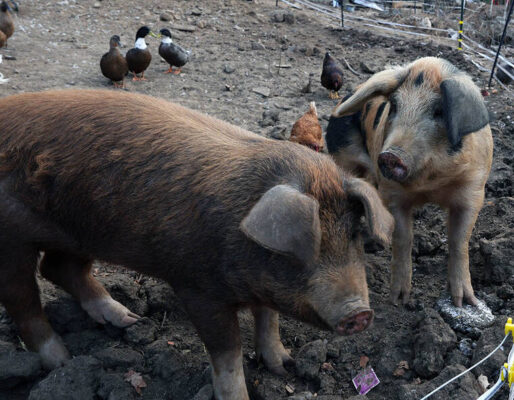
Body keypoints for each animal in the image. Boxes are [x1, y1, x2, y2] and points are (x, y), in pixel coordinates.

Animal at [1, 90, 392, 400]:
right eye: (308, 247)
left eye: (354, 235)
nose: (359, 313)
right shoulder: (196, 287)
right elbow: (227, 353)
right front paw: (239, 396)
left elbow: (268, 320)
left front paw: (286, 366)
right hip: (12, 237)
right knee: (23, 298)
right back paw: (62, 360)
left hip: (83, 231)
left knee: (58, 267)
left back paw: (127, 320)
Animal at [324, 55, 492, 306]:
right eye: (394, 105)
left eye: (440, 111)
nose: (390, 155)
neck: (430, 184)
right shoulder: (393, 193)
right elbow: (403, 239)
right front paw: (399, 300)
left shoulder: (473, 190)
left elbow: (459, 241)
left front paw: (464, 302)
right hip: (342, 157)